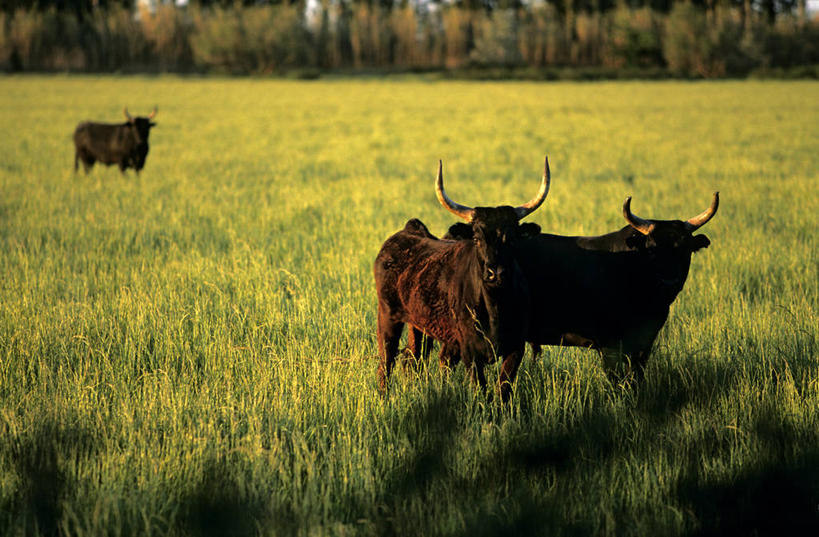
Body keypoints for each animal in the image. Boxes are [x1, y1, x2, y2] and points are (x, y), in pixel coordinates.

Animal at [376, 157, 552, 400]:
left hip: (419, 325)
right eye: (477, 238)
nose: (496, 273)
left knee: (416, 359)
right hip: (387, 318)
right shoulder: (470, 350)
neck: (495, 307)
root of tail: (409, 230)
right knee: (386, 362)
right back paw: (383, 398)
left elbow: (503, 390)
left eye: (512, 239)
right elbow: (481, 389)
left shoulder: (516, 348)